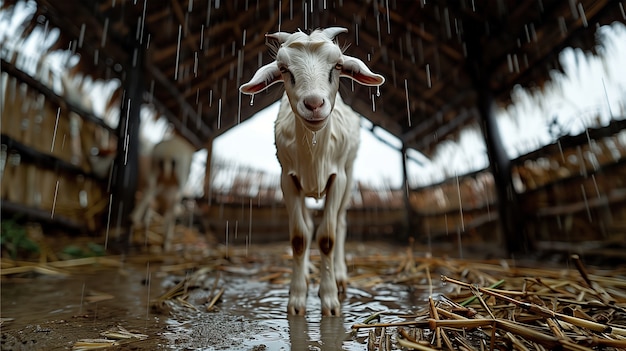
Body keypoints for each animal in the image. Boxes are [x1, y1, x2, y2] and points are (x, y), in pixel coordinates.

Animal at [240, 27, 382, 316]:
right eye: (284, 69)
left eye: (337, 65)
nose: (314, 103)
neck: (314, 153)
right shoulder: (287, 180)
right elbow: (299, 237)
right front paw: (296, 300)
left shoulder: (338, 178)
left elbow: (327, 237)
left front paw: (329, 301)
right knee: (306, 225)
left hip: (349, 173)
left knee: (340, 223)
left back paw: (339, 276)